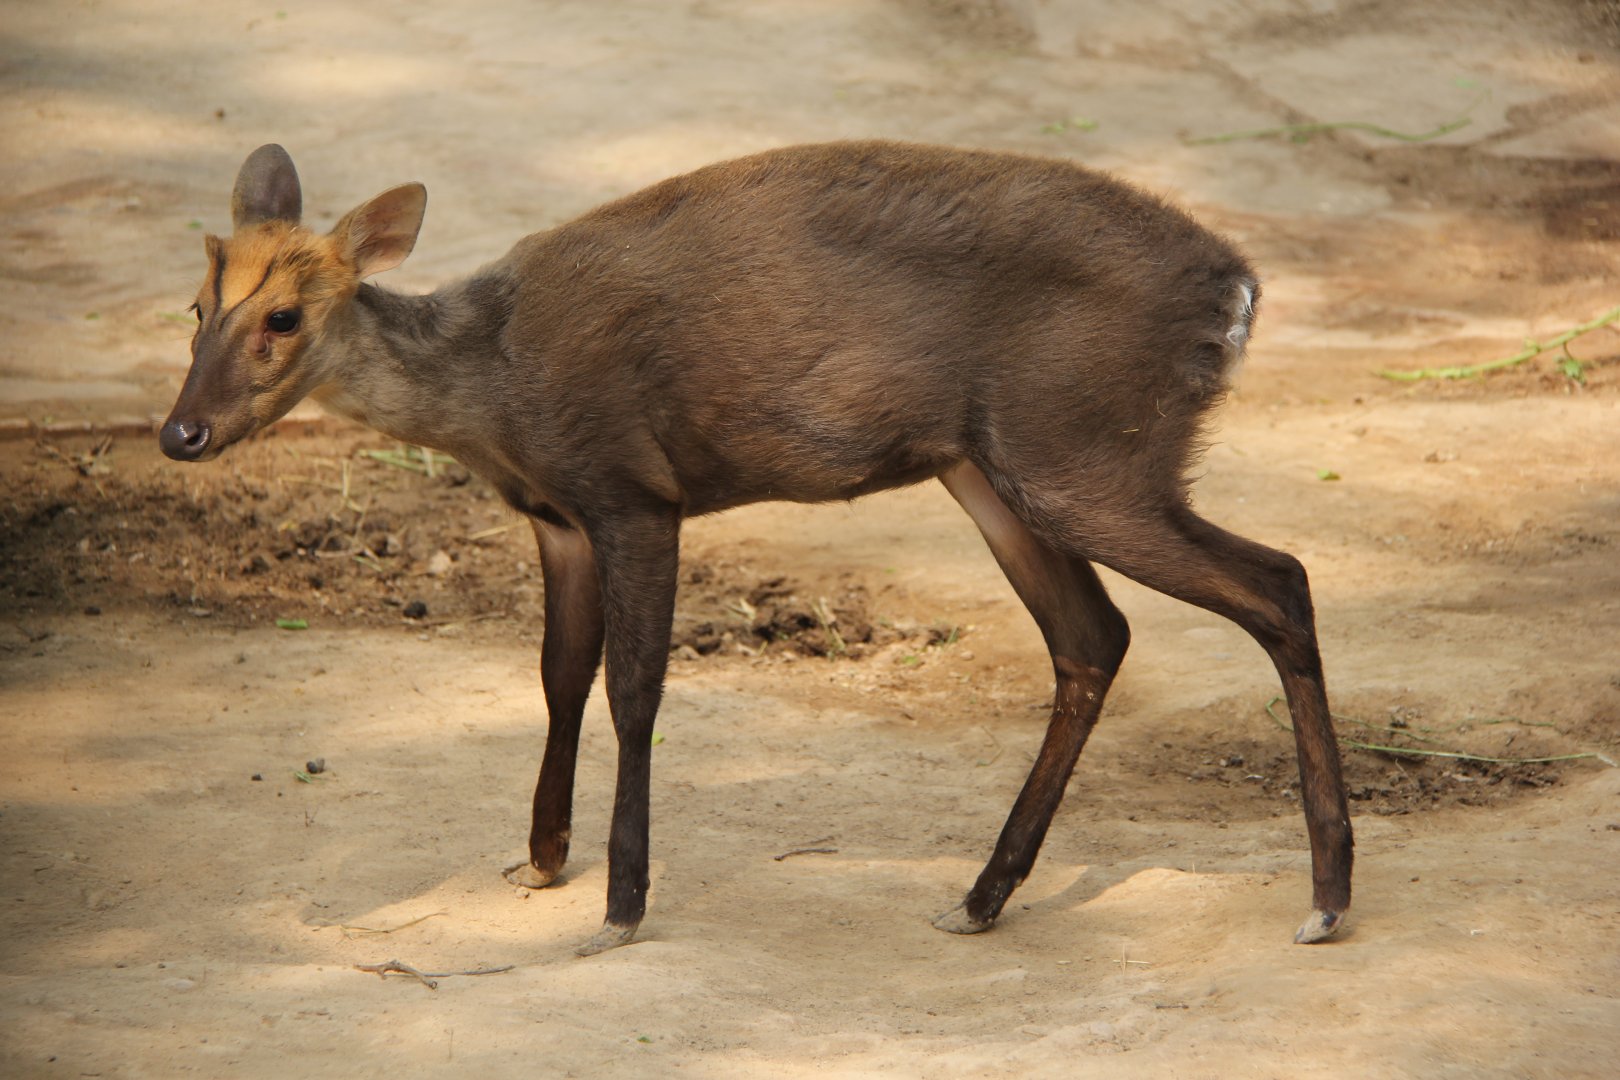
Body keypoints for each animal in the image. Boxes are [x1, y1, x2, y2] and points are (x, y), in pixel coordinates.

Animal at [161, 141, 1354, 952]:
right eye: (196, 307)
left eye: (282, 317)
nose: (181, 433)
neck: (492, 386)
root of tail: (1238, 290)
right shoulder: (559, 519)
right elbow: (557, 675)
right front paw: (541, 861)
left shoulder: (634, 490)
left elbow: (632, 687)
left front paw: (621, 903)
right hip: (994, 464)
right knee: (1095, 635)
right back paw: (979, 897)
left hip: (1086, 449)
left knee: (1279, 582)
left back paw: (1327, 899)